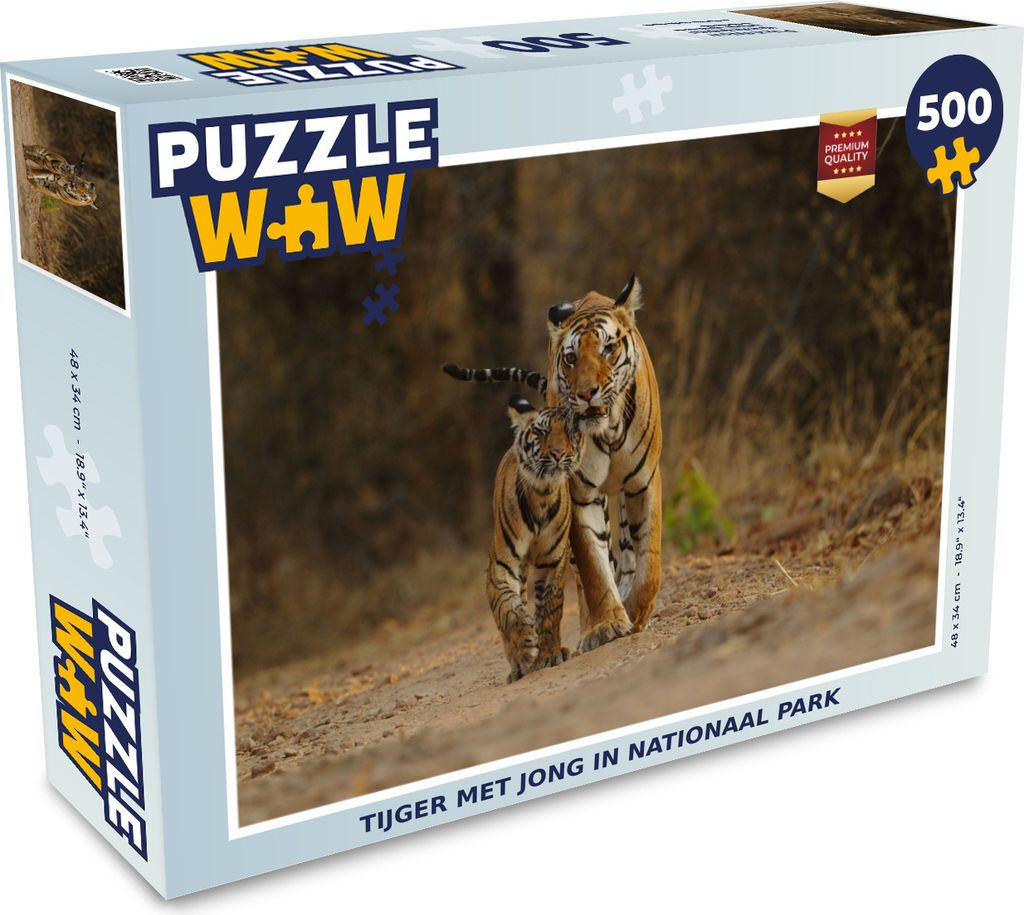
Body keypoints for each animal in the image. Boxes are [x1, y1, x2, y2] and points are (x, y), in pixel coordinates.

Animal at [488, 395, 581, 682]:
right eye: (541, 432)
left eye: (570, 432)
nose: (558, 454)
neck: (542, 494)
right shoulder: (501, 566)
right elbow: (508, 609)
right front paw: (525, 641)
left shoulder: (552, 561)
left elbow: (550, 610)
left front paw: (549, 654)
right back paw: (518, 665)